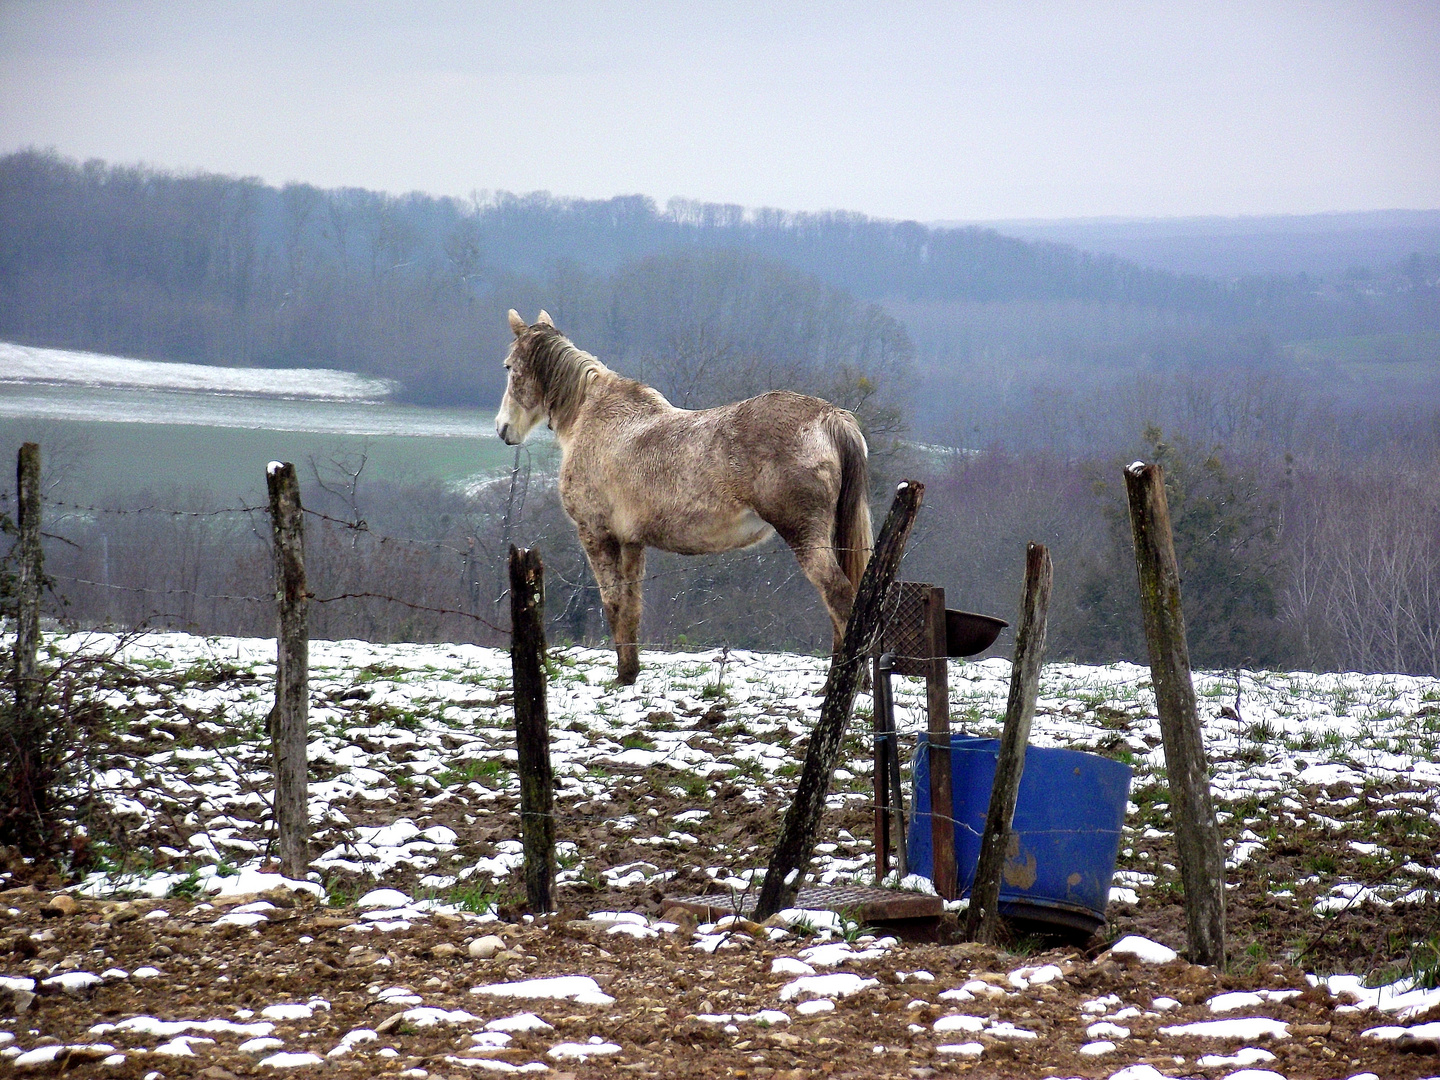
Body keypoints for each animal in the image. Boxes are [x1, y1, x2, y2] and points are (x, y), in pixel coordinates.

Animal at [495, 312, 875, 685]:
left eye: (509, 367)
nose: (502, 428)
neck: (593, 417)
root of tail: (830, 418)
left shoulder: (597, 536)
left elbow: (613, 603)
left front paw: (622, 674)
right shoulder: (631, 542)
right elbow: (631, 608)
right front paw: (629, 674)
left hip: (806, 537)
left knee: (839, 596)